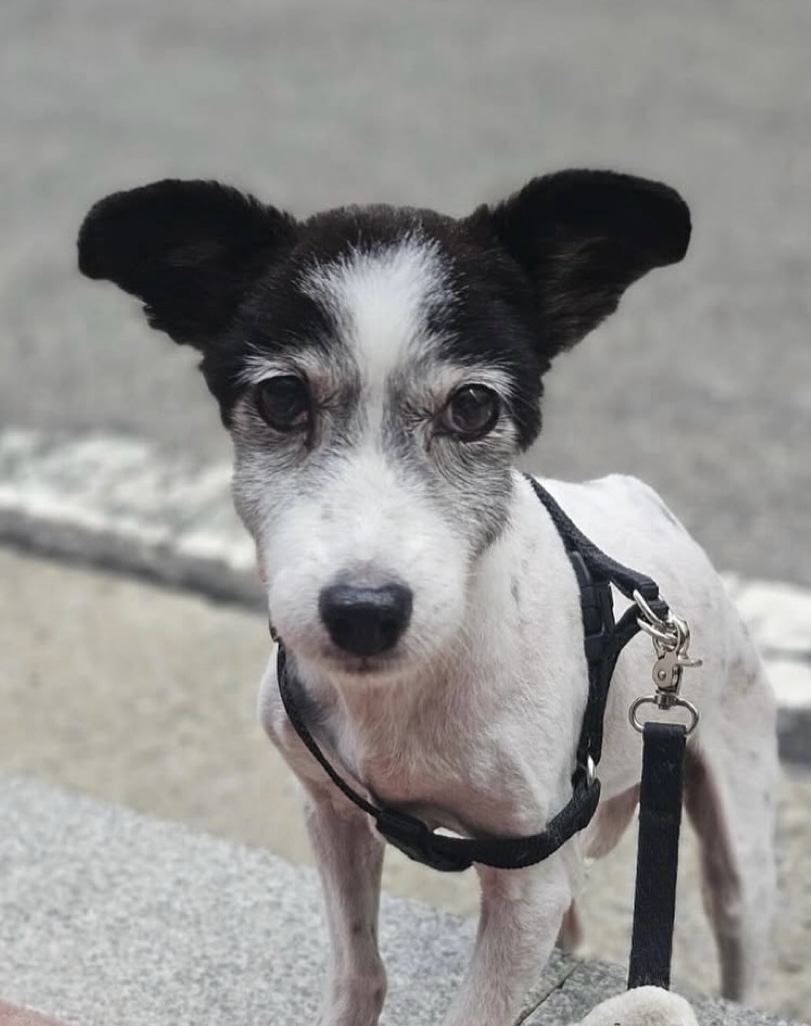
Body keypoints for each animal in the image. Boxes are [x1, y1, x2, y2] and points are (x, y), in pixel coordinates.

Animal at [78, 170, 777, 1026]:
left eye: (473, 408)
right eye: (281, 399)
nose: (363, 612)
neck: (402, 699)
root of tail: (643, 501)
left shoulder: (527, 883)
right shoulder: (333, 812)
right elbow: (358, 970)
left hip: (737, 834)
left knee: (736, 925)